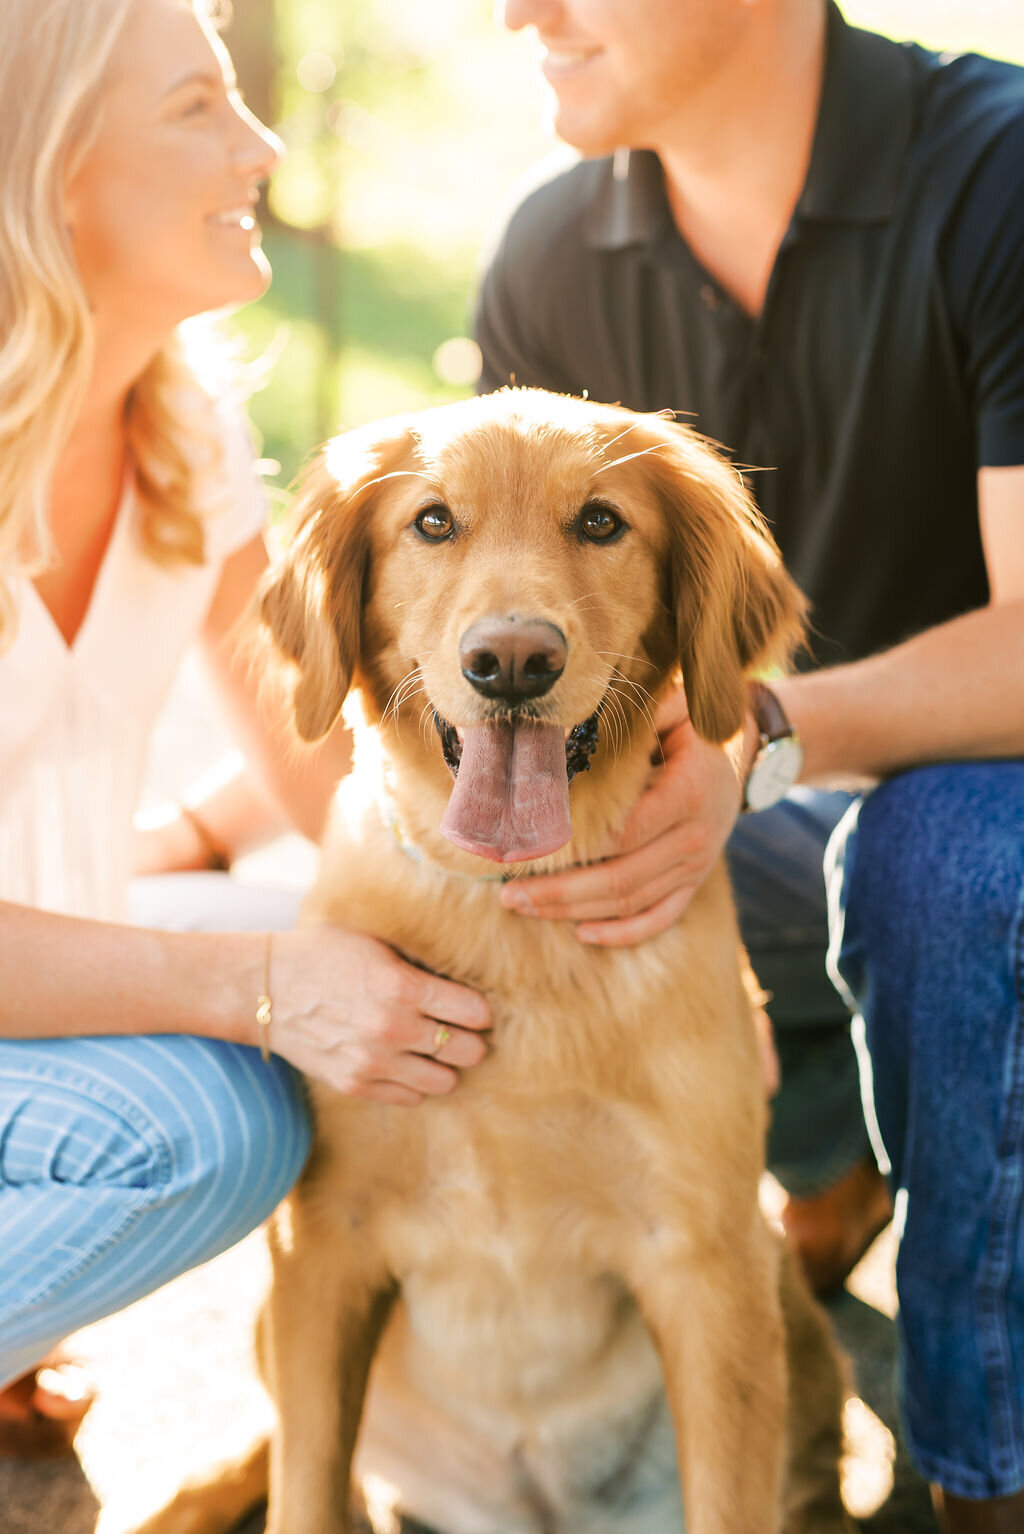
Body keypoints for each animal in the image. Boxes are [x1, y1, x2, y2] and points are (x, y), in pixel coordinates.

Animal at [140, 386, 852, 1534]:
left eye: (601, 521)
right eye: (432, 521)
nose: (513, 661)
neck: (509, 910)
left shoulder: (709, 1261)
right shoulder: (320, 1240)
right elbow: (306, 1480)